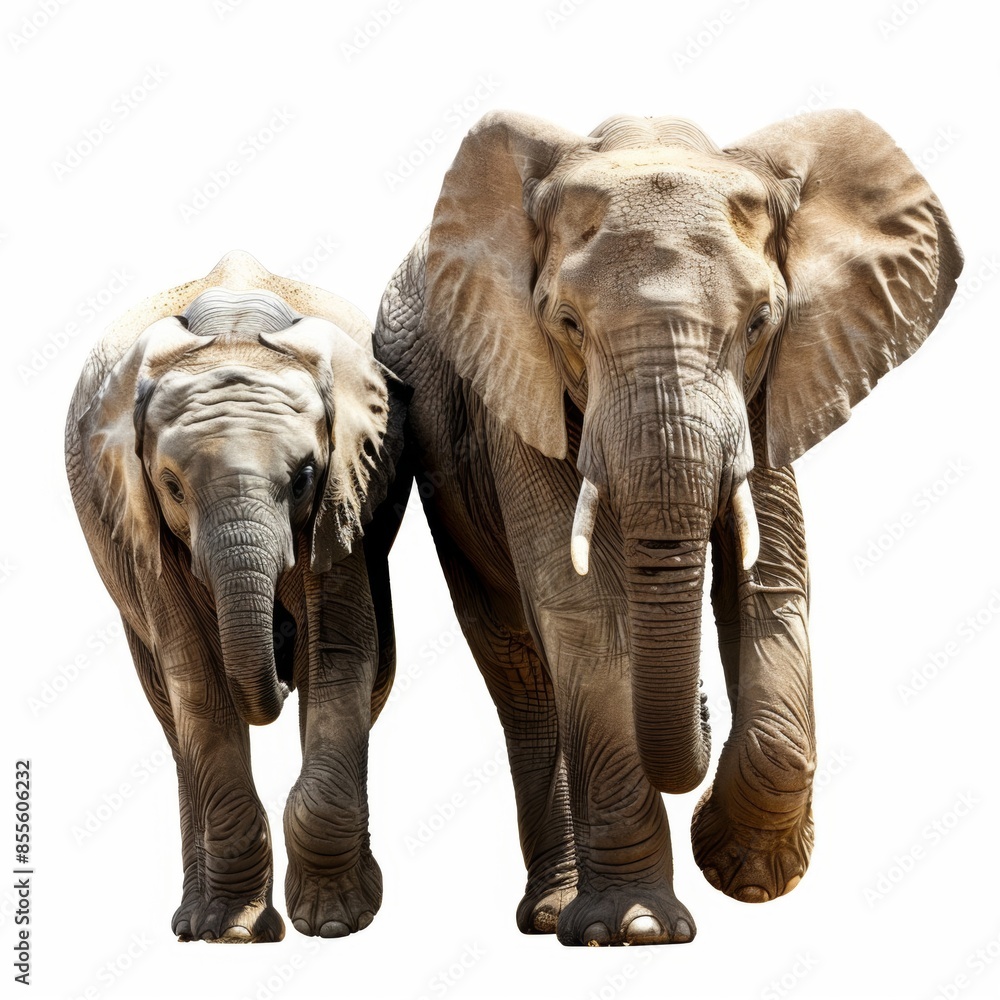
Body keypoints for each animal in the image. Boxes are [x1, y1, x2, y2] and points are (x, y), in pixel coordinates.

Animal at [65, 251, 408, 942]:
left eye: (304, 477)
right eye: (171, 484)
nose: (280, 646)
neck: (236, 333)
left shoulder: (346, 493)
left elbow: (340, 654)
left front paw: (336, 923)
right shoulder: (139, 521)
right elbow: (197, 682)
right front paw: (231, 933)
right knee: (172, 718)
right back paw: (193, 920)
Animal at [375, 109, 962, 946]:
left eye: (760, 321)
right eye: (566, 323)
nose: (705, 709)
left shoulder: (775, 390)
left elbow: (769, 584)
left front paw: (744, 873)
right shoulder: (514, 386)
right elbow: (583, 609)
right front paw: (635, 928)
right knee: (520, 665)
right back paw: (554, 913)